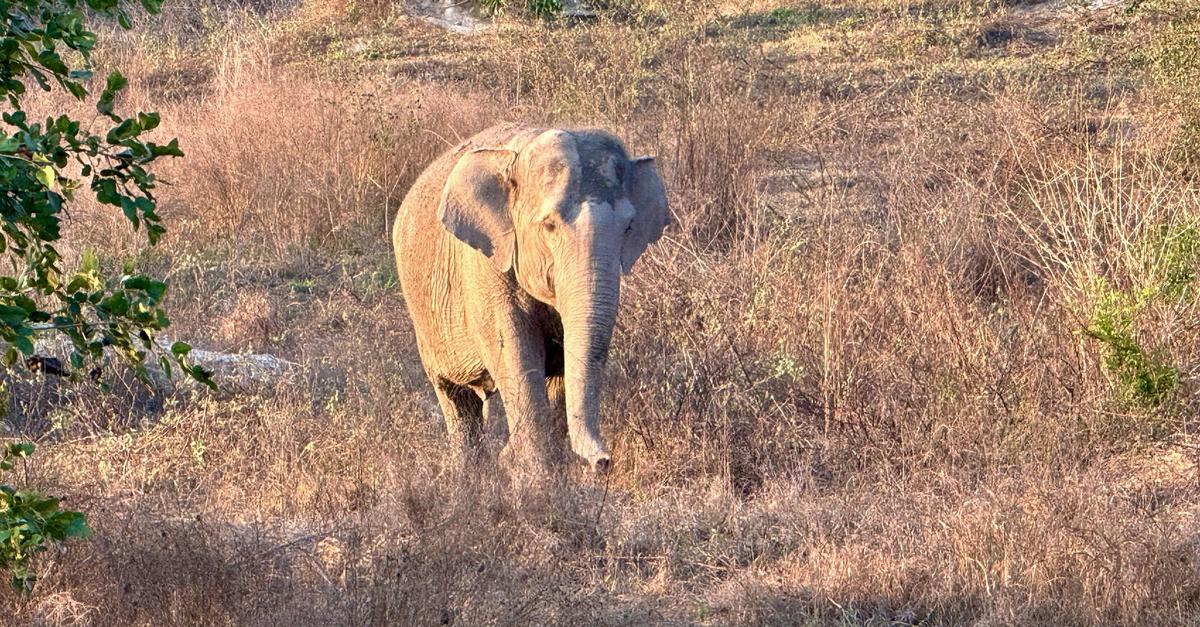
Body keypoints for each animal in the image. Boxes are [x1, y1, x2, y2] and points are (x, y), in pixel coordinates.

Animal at [392, 124, 669, 475]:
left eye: (628, 227)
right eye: (549, 225)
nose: (603, 462)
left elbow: (563, 367)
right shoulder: (486, 268)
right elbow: (515, 351)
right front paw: (531, 475)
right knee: (456, 400)